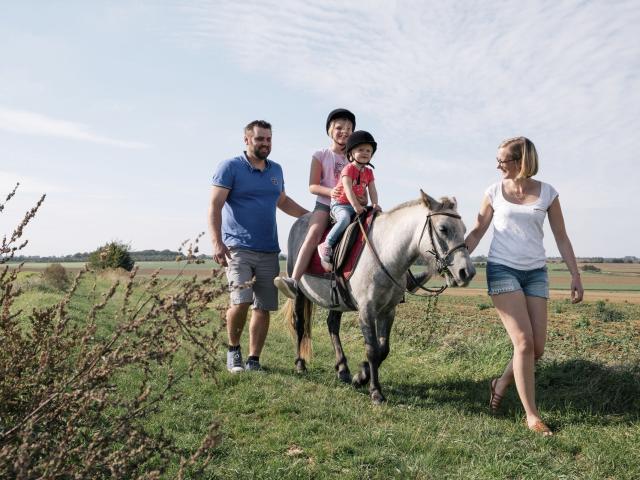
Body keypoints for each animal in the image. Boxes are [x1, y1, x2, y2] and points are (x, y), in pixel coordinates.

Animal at [282, 191, 476, 404]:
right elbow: (372, 350)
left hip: (336, 300)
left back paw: (343, 369)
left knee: (332, 325)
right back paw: (300, 364)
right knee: (300, 324)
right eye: (443, 229)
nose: (467, 272)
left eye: (464, 229)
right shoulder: (367, 311)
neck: (385, 254)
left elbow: (383, 349)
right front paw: (375, 391)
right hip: (299, 293)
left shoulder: (388, 311)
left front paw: (360, 377)